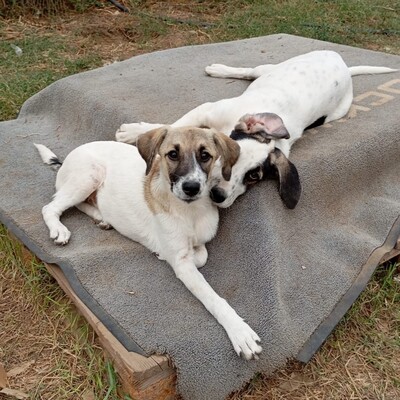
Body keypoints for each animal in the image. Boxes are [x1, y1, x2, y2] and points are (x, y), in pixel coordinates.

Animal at [36, 126, 264, 360]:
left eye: (205, 155)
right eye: (172, 154)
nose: (191, 187)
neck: (190, 211)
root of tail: (68, 158)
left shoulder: (194, 247)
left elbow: (202, 255)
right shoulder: (181, 263)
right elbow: (212, 297)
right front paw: (239, 332)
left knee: (79, 204)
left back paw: (102, 218)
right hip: (88, 176)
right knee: (51, 207)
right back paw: (59, 229)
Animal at [115, 48, 396, 208]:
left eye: (253, 177)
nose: (218, 195)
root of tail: (343, 65)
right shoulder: (206, 110)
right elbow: (173, 126)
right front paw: (134, 132)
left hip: (336, 112)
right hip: (273, 67)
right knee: (250, 71)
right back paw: (220, 69)